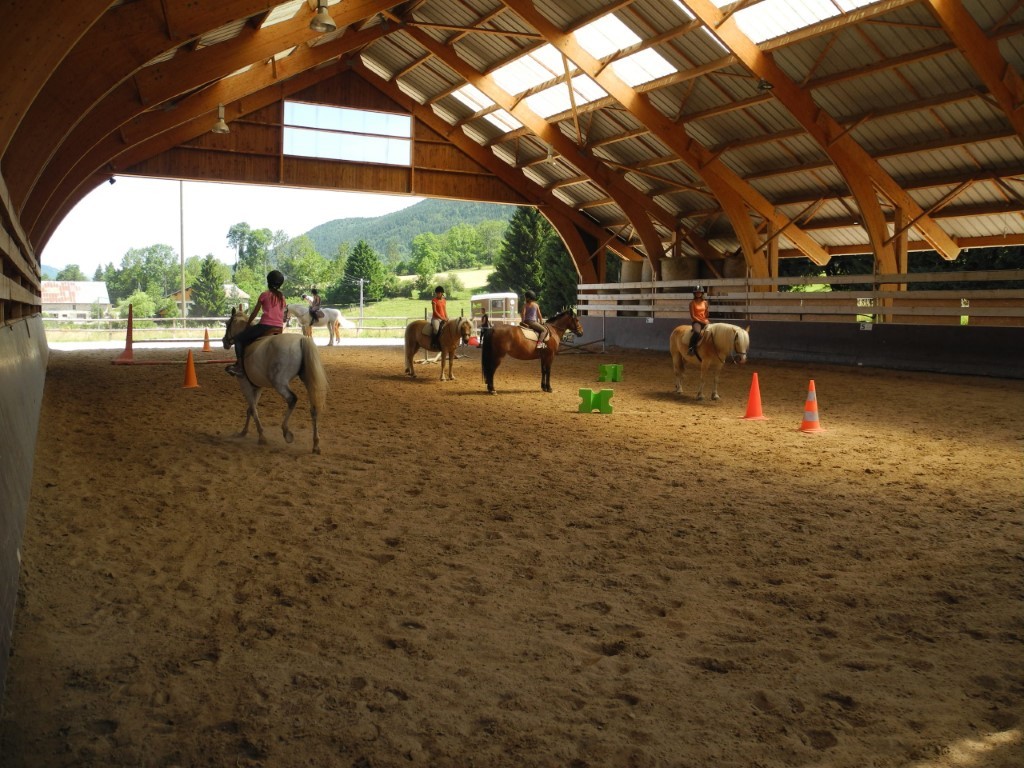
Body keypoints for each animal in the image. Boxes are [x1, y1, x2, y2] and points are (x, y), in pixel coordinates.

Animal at [223, 303, 327, 454]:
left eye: (227, 323)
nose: (224, 341)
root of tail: (301, 339)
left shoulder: (244, 384)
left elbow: (253, 409)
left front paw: (261, 436)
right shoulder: (258, 386)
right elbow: (250, 409)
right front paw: (244, 432)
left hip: (280, 383)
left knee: (292, 399)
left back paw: (286, 432)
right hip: (308, 381)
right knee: (313, 408)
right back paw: (316, 444)